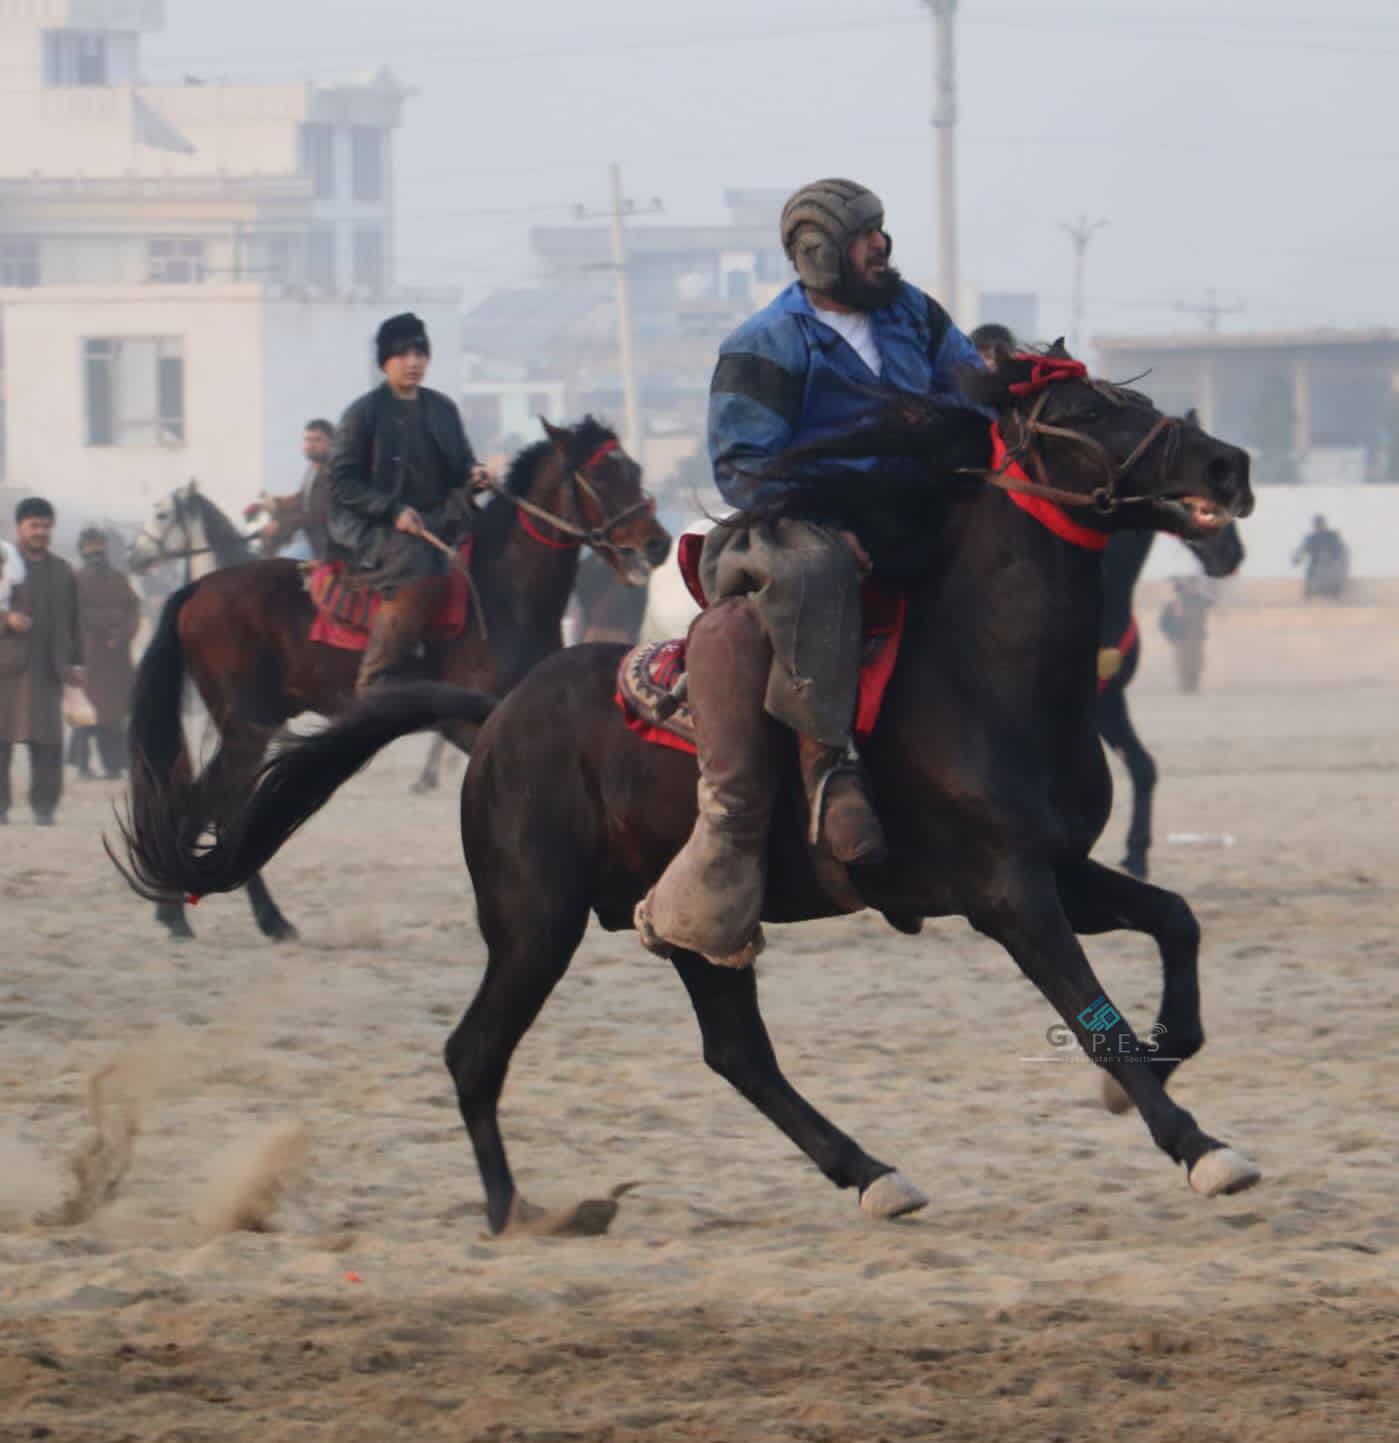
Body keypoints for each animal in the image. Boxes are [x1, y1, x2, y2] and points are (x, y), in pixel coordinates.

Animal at [125, 418, 666, 940]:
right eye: (601, 475)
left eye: (635, 470)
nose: (656, 543)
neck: (501, 593)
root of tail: (197, 591)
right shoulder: (472, 721)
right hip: (246, 728)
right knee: (209, 804)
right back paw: (204, 910)